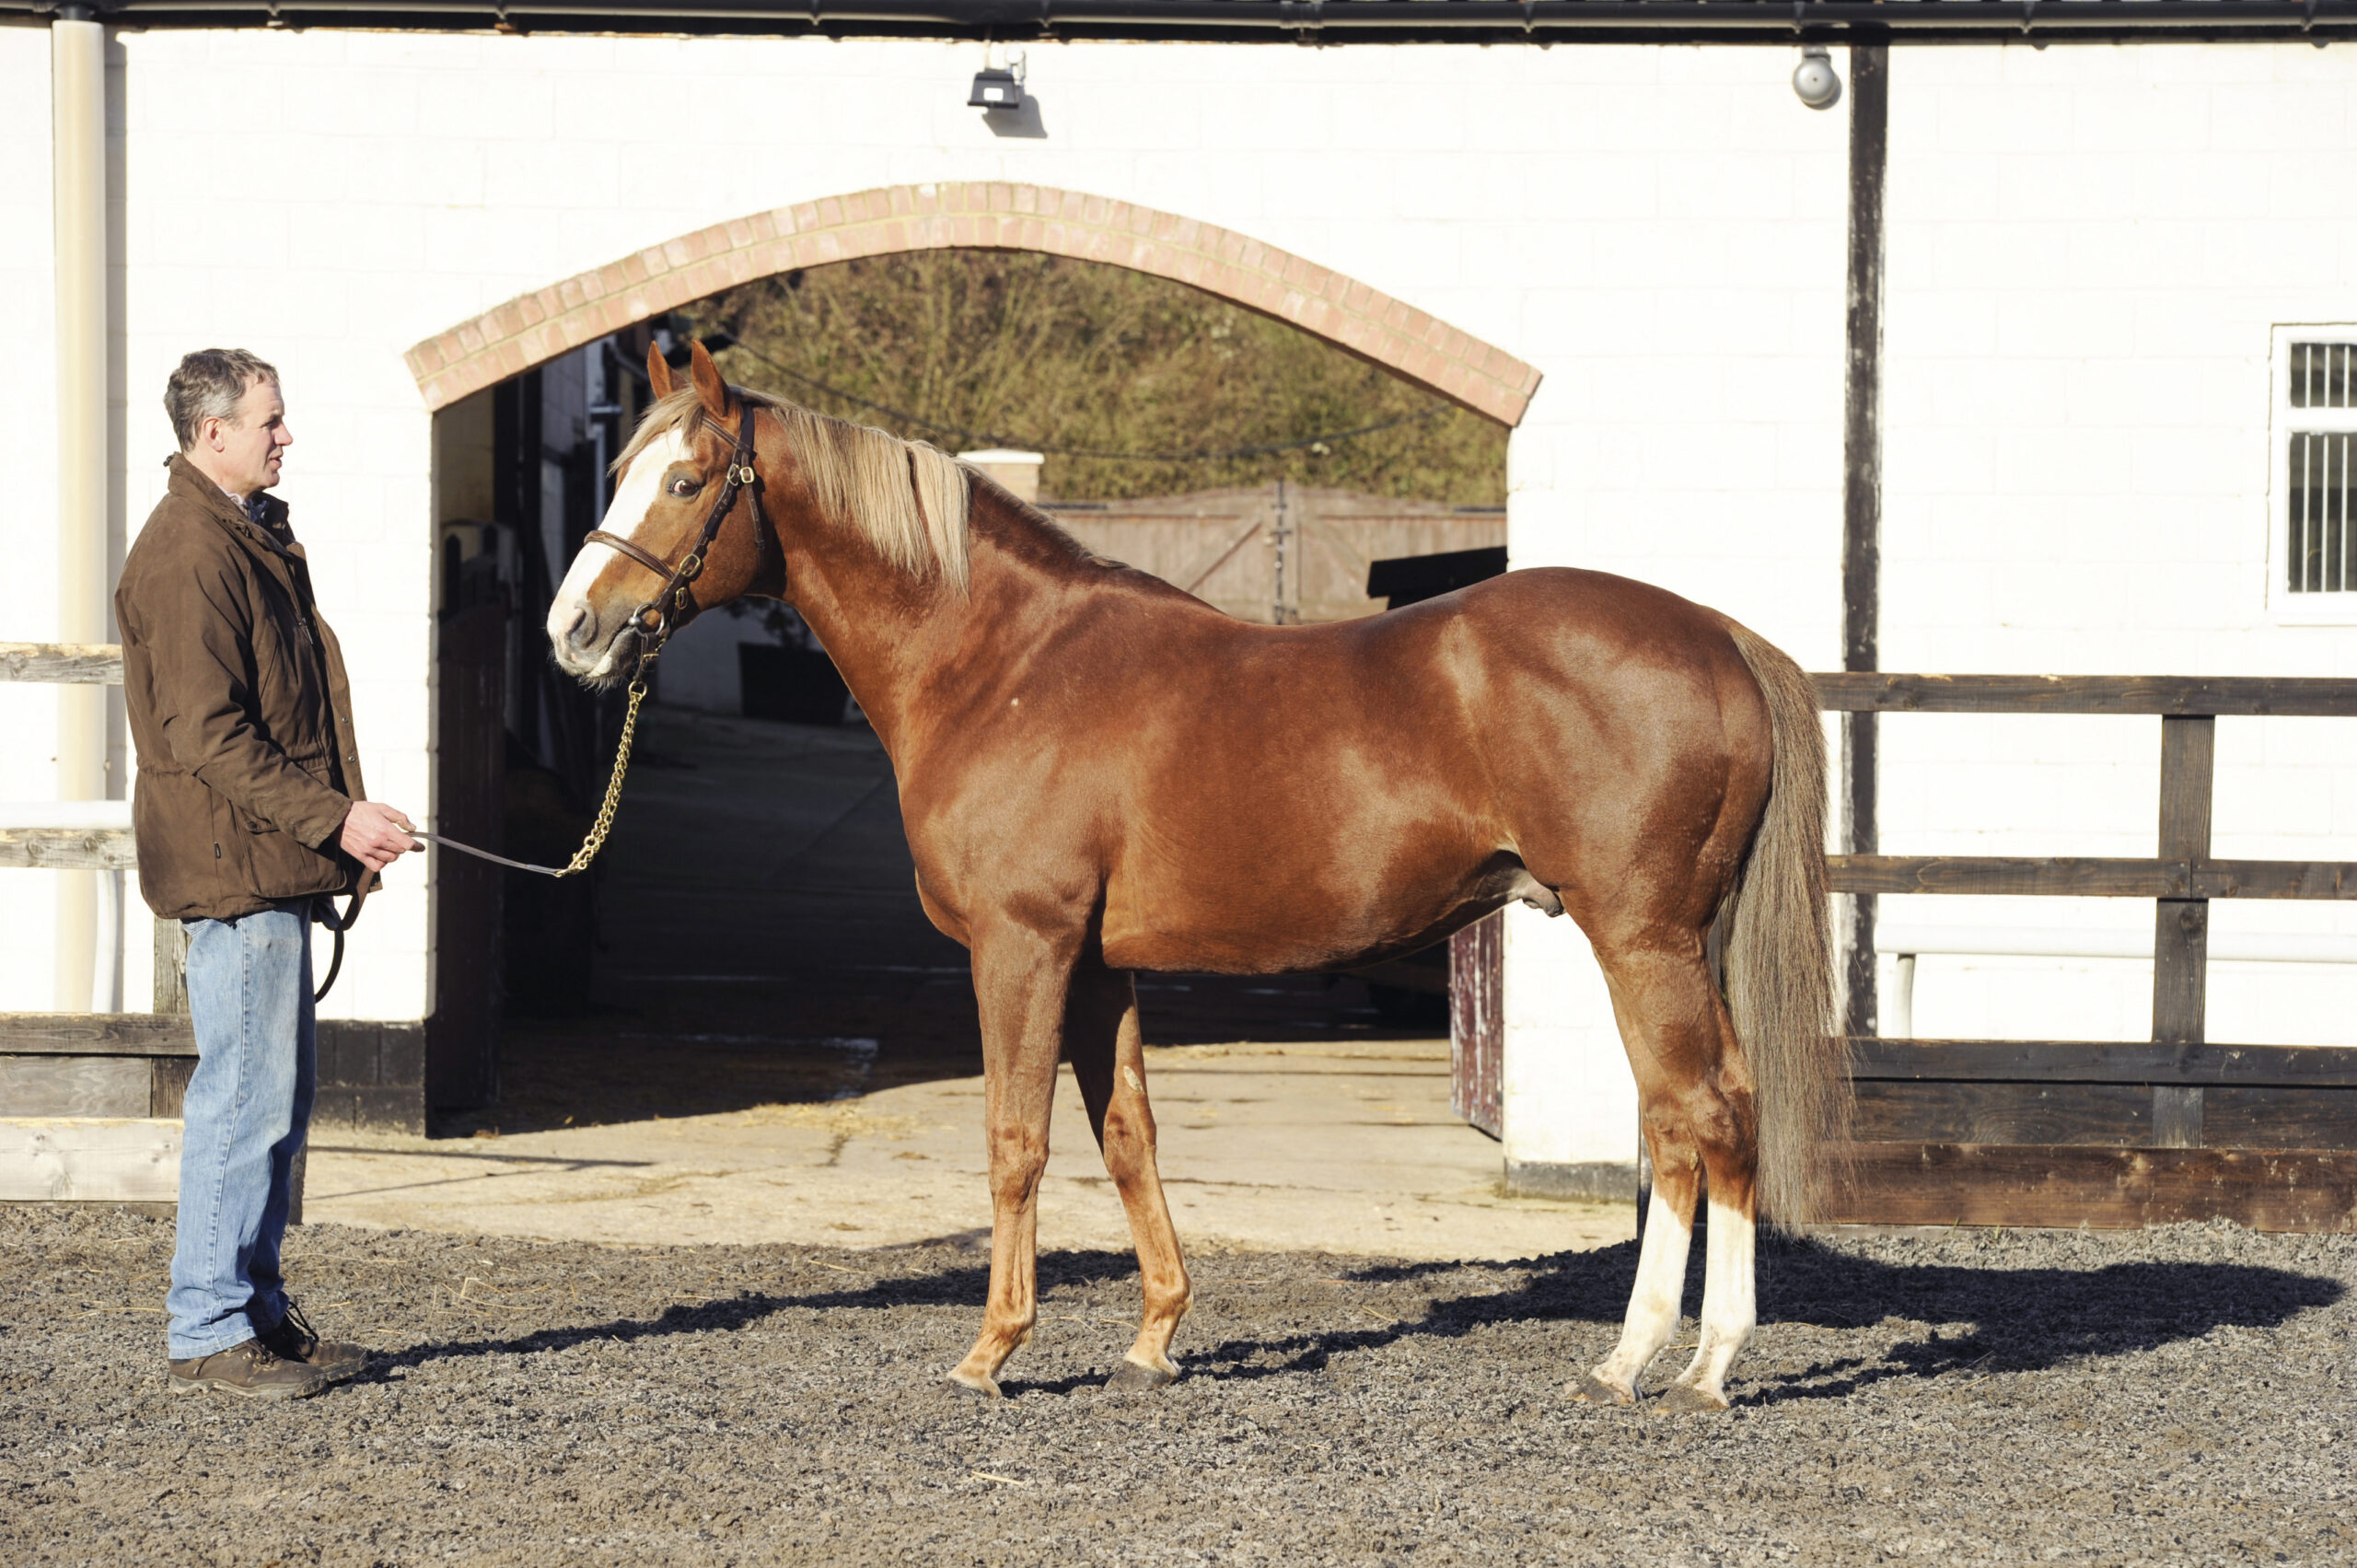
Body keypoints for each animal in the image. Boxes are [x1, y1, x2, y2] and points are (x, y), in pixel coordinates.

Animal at [546, 340, 1842, 1411]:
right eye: (618, 470)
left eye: (683, 483)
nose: (573, 632)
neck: (1002, 665)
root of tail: (1719, 636)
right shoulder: (1096, 963)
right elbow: (1127, 1131)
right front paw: (1154, 1338)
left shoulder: (1022, 947)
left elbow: (1015, 1140)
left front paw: (990, 1352)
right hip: (1672, 939)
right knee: (1705, 1113)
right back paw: (1679, 1355)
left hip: (1640, 937)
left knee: (1694, 1114)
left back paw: (1670, 1363)